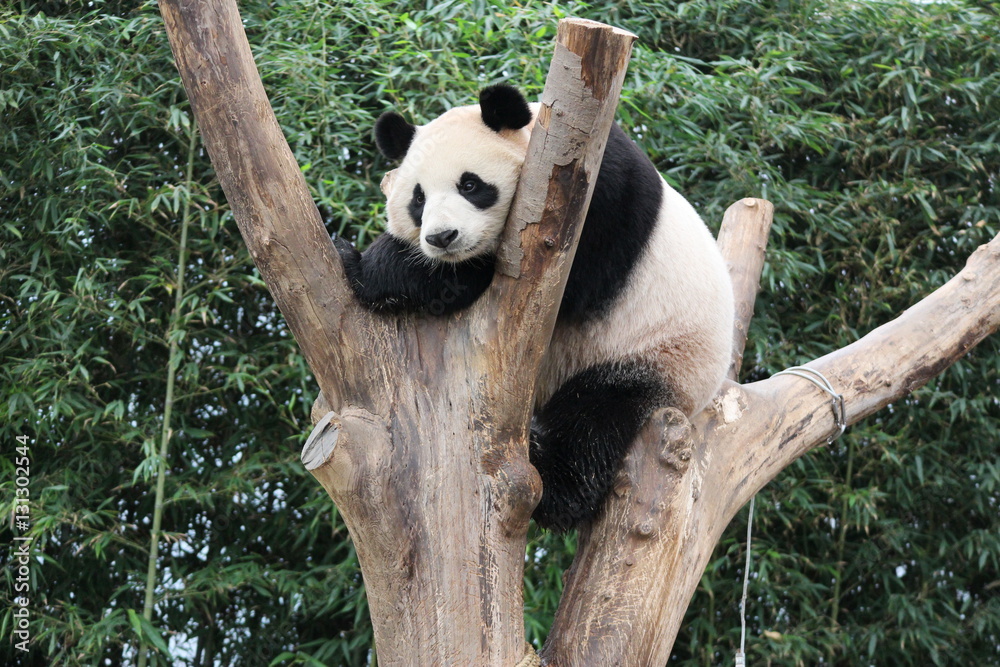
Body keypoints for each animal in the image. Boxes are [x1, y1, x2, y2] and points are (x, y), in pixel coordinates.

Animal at [333, 84, 734, 532]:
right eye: (418, 199)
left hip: (657, 354)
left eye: (470, 184)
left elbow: (569, 282)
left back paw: (550, 478)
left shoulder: (596, 200)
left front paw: (369, 265)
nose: (442, 237)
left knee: (592, 420)